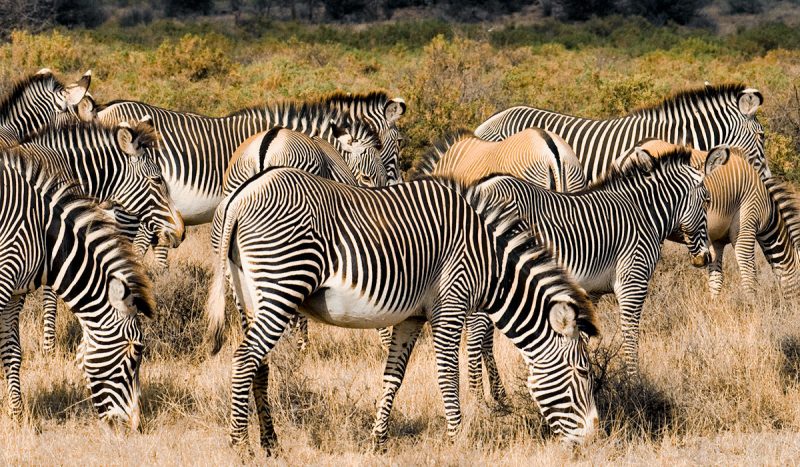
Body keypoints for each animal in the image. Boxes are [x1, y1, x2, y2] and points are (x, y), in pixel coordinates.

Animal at [0, 152, 152, 429]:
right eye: (135, 352)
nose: (135, 425)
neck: (45, 239)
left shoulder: (14, 294)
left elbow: (12, 352)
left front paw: (17, 416)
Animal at [205, 167, 600, 452]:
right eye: (583, 372)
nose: (592, 440)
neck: (489, 263)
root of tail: (242, 194)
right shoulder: (450, 305)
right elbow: (447, 376)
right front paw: (458, 441)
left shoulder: (412, 317)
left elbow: (393, 376)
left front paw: (378, 442)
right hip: (282, 282)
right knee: (245, 359)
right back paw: (239, 447)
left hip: (247, 292)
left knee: (259, 364)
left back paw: (270, 443)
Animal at [467, 146, 729, 386]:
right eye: (707, 200)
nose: (705, 258)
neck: (646, 215)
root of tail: (479, 189)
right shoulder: (633, 280)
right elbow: (630, 332)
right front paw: (634, 384)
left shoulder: (591, 291)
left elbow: (585, 337)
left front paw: (590, 380)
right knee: (475, 334)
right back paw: (480, 399)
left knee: (484, 337)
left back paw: (498, 399)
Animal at [638, 139, 800, 298]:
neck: (767, 208)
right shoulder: (745, 230)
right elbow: (749, 275)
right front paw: (751, 304)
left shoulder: (717, 241)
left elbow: (716, 279)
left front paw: (713, 303)